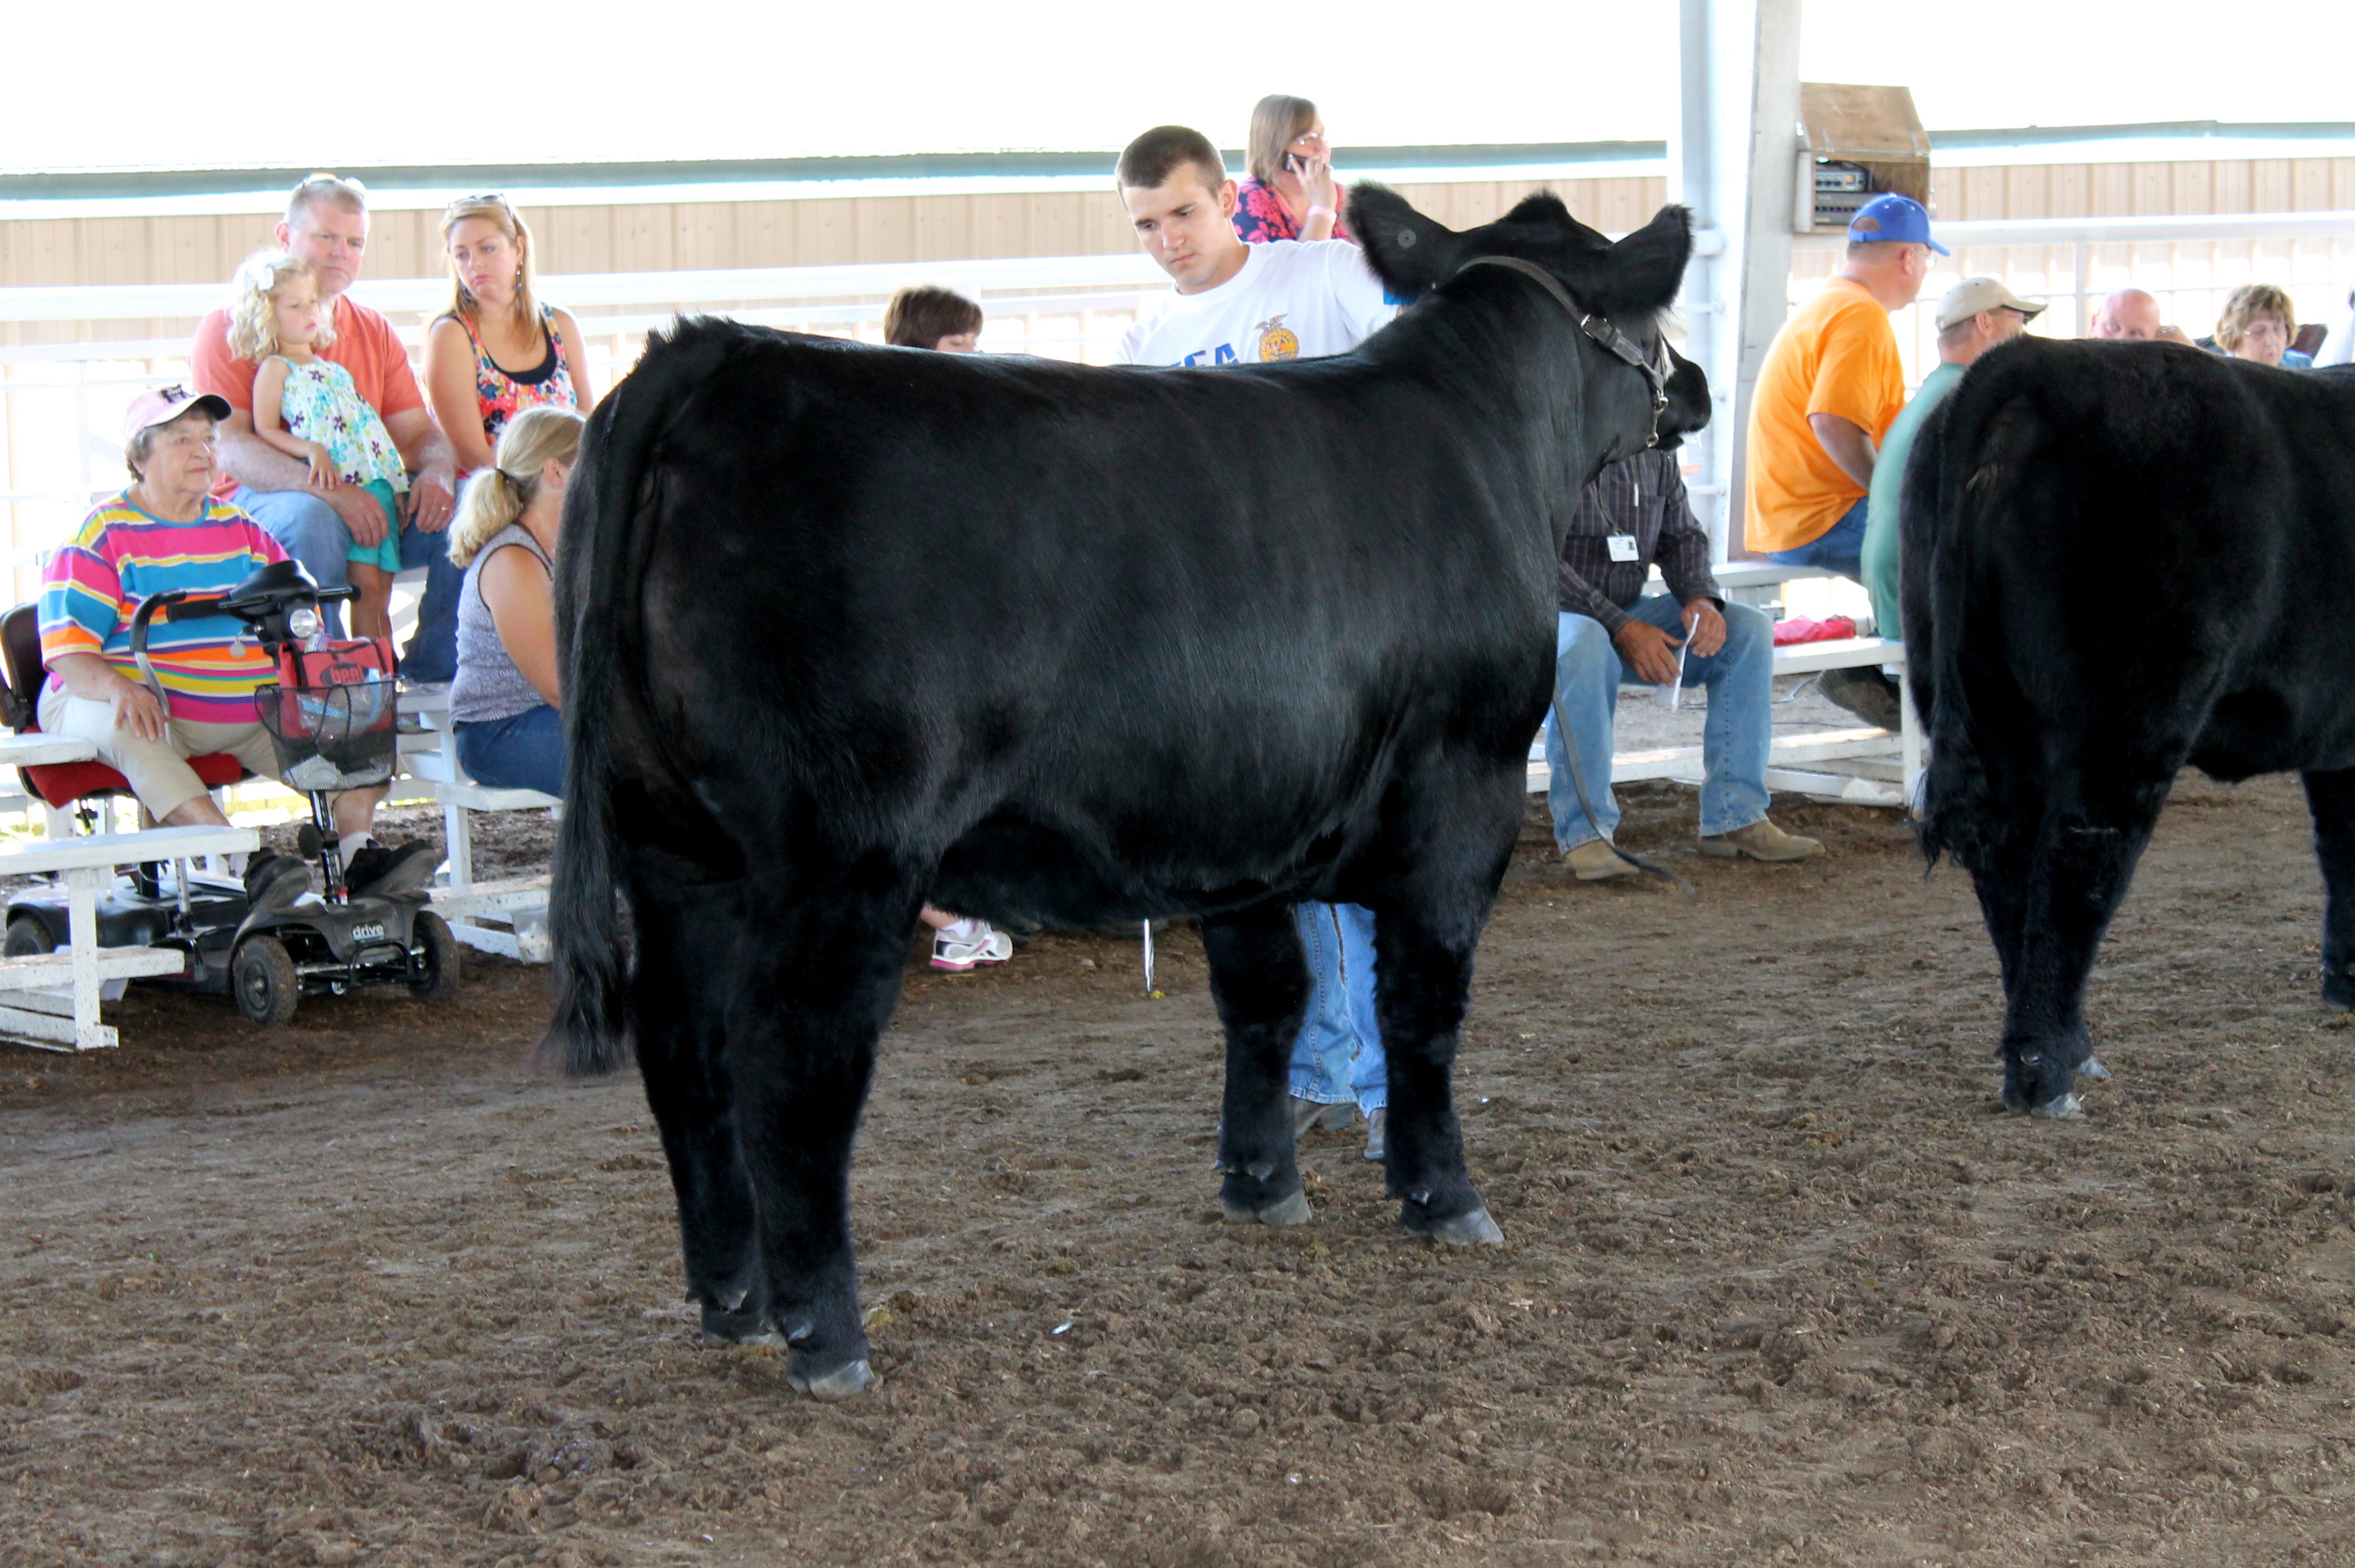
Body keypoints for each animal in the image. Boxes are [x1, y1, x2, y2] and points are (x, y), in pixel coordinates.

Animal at [540, 184, 1711, 1399]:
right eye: (1647, 310)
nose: (1696, 388)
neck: (1485, 441)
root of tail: (715, 353)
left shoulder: (1243, 818)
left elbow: (1266, 996)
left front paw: (1260, 1182)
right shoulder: (1463, 789)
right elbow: (1421, 1008)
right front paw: (1445, 1196)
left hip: (672, 845)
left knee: (682, 1047)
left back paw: (730, 1300)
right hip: (840, 854)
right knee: (789, 1066)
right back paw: (827, 1335)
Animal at [1902, 336, 2355, 1118]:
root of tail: (2032, 360)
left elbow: (2341, 849)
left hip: (1978, 701)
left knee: (2009, 869)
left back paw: (2066, 1049)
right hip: (2127, 715)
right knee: (2078, 865)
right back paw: (2045, 1077)